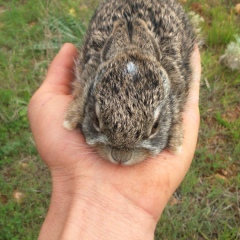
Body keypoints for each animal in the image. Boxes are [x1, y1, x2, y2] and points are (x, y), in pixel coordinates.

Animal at [63, 0, 195, 165]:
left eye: (155, 127)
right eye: (96, 120)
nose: (120, 157)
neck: (132, 46)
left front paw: (177, 144)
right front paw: (69, 120)